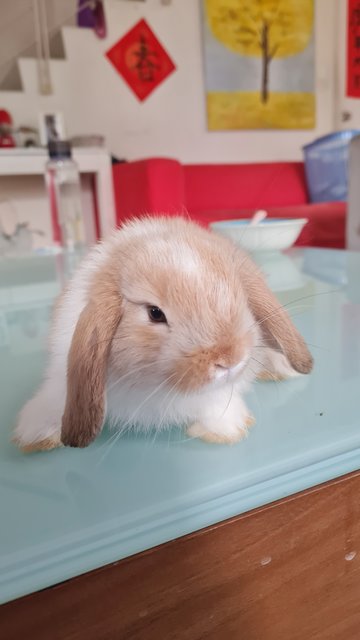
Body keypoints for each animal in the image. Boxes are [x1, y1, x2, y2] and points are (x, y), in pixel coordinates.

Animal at [14, 215, 312, 450]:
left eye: (239, 294)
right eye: (155, 313)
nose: (230, 360)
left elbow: (217, 403)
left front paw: (225, 430)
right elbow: (54, 398)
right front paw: (34, 435)